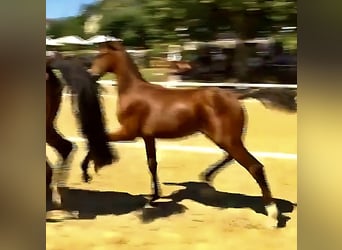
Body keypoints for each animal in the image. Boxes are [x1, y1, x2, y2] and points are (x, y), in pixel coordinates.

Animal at [81, 41, 296, 229]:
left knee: (254, 166)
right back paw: (207, 178)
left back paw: (272, 217)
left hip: (226, 139)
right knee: (231, 157)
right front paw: (154, 197)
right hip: (226, 138)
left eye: (101, 54)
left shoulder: (129, 132)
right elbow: (152, 164)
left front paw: (86, 171)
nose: (91, 74)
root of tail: (235, 96)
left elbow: (98, 139)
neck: (134, 93)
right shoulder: (148, 136)